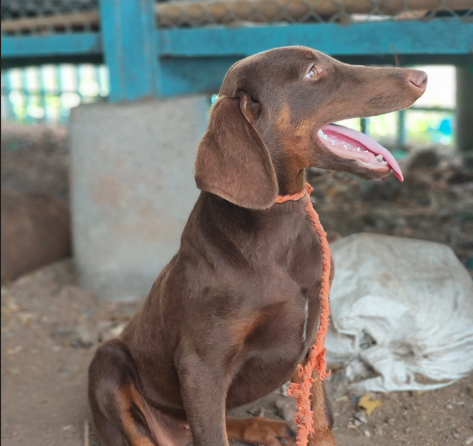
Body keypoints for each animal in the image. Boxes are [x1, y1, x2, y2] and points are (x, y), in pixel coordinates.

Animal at [87, 46, 424, 446]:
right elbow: (213, 435)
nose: (422, 77)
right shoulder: (201, 366)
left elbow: (321, 420)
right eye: (312, 73)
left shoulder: (313, 343)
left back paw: (265, 427)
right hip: (108, 363)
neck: (277, 230)